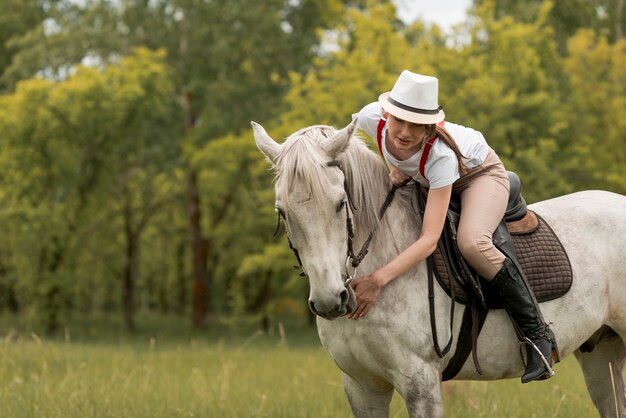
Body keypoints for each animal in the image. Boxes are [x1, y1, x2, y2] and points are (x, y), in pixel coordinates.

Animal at [250, 118, 624, 418]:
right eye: (282, 211)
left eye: (341, 203)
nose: (331, 301)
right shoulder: (362, 386)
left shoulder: (420, 382)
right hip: (601, 352)